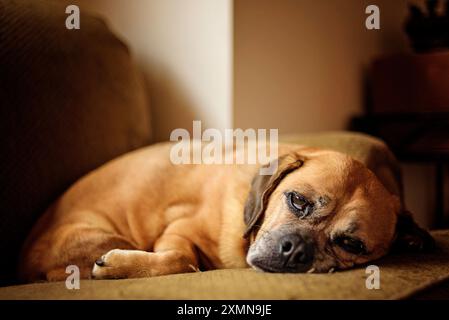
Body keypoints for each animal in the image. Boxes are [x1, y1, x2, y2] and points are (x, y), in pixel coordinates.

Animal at [19, 142, 432, 280]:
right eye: (297, 201)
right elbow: (183, 261)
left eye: (352, 244)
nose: (295, 251)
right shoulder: (180, 229)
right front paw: (118, 266)